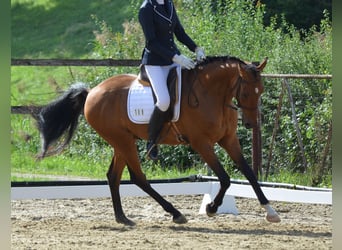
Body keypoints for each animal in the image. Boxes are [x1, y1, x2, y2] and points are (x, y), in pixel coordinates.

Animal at [36, 55, 280, 226]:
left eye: (261, 91)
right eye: (246, 93)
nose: (251, 124)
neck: (213, 95)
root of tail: (92, 91)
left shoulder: (229, 140)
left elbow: (249, 173)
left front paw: (270, 211)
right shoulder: (201, 143)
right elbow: (225, 178)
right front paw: (211, 207)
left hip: (122, 141)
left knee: (114, 176)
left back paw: (123, 218)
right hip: (123, 141)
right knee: (138, 177)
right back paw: (175, 213)